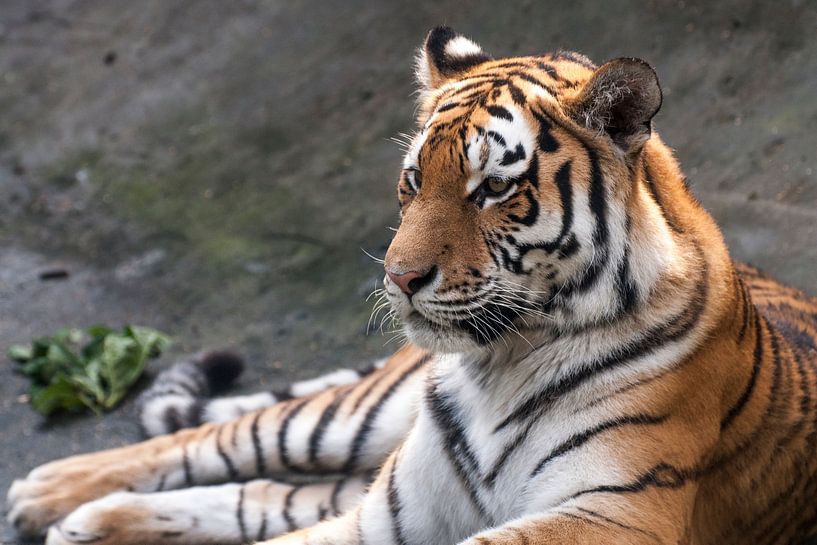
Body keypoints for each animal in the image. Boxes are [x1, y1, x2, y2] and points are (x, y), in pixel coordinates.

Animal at [7, 26, 817, 545]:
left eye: (494, 187)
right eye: (413, 180)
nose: (398, 277)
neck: (501, 365)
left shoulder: (614, 513)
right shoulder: (390, 515)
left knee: (267, 493)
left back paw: (83, 520)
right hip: (363, 414)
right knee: (222, 439)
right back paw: (51, 492)